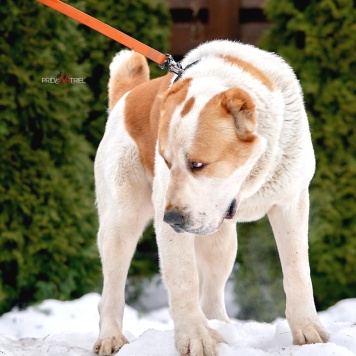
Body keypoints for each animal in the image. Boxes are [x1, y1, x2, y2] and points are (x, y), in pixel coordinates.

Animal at [93, 40, 330, 354]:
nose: (172, 218)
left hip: (221, 241)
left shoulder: (291, 201)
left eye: (197, 164)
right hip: (121, 222)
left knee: (212, 291)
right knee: (112, 290)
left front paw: (308, 331)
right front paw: (194, 337)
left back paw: (220, 328)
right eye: (166, 161)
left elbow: (297, 271)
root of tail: (127, 96)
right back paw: (111, 338)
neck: (250, 178)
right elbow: (183, 280)